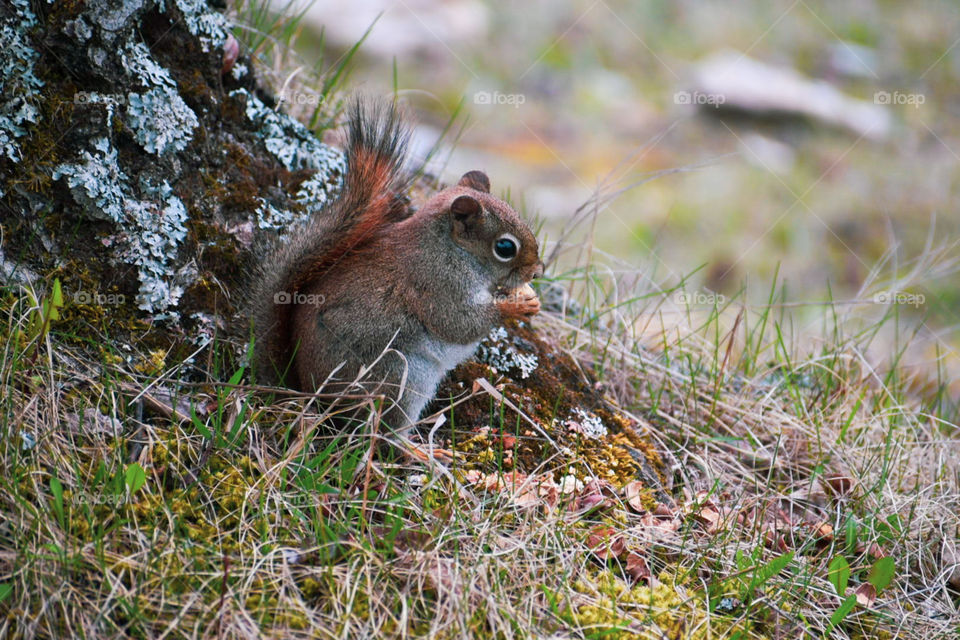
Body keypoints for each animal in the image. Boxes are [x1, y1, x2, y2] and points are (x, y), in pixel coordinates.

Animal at [248, 100, 544, 432]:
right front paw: (515, 307)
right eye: (505, 247)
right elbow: (460, 323)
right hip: (399, 377)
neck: (451, 250)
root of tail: (306, 391)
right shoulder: (438, 283)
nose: (537, 271)